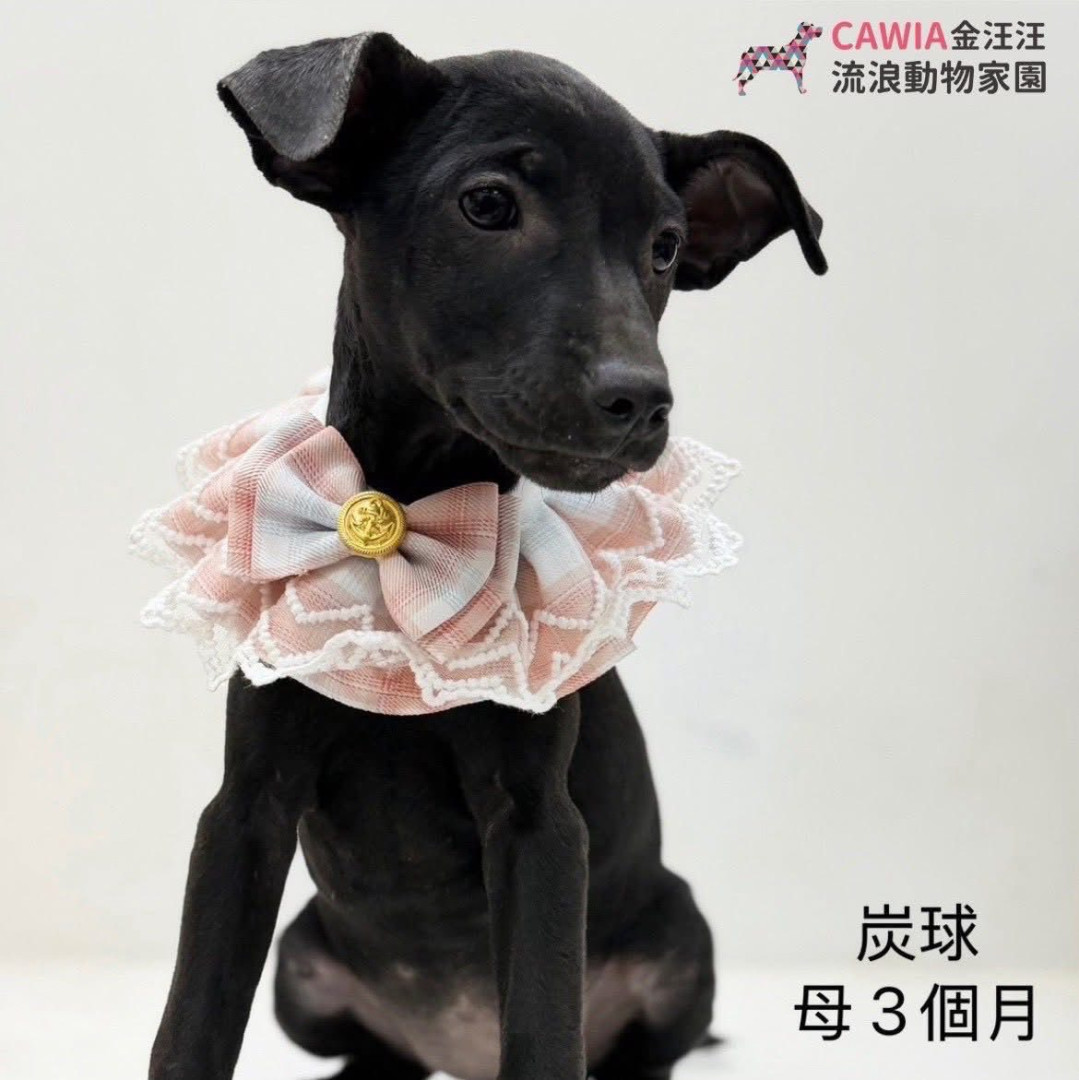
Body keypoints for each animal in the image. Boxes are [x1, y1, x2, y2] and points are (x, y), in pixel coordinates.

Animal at [146, 31, 825, 1080]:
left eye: (665, 247)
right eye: (489, 205)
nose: (642, 398)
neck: (410, 514)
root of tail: (452, 1045)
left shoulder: (539, 822)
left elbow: (543, 1027)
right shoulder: (243, 812)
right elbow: (191, 1020)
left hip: (681, 935)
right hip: (305, 969)